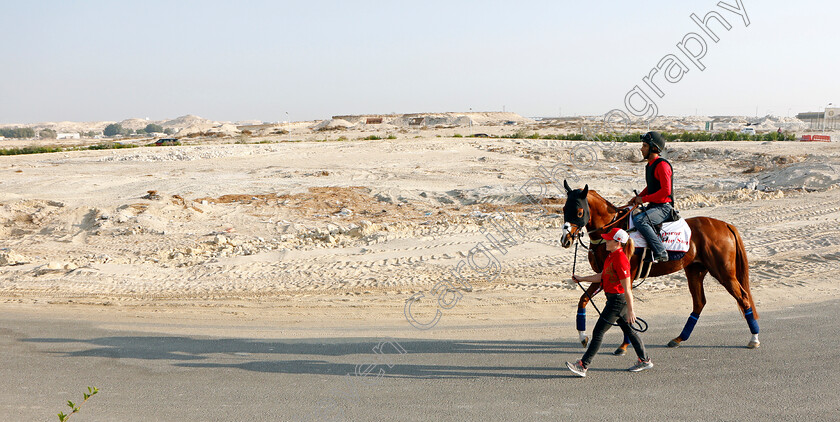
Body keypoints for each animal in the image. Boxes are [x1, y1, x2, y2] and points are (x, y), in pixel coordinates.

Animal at [556, 181, 760, 350]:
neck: (612, 232)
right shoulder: (604, 276)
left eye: (579, 212)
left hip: (724, 273)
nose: (566, 239)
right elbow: (583, 300)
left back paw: (754, 338)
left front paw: (624, 345)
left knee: (743, 298)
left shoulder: (625, 278)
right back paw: (678, 339)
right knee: (699, 303)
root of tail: (725, 225)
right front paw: (583, 337)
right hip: (695, 271)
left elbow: (625, 310)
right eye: (564, 209)